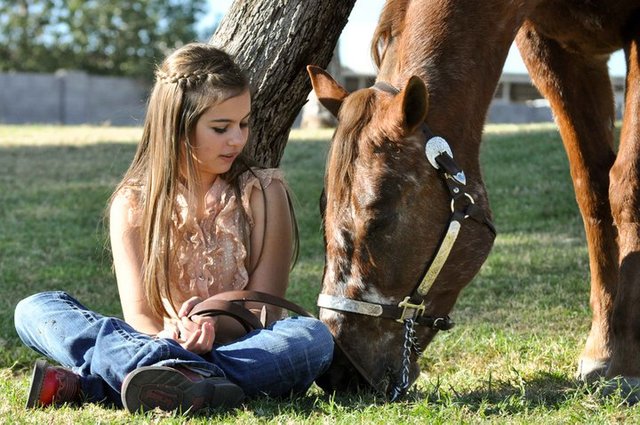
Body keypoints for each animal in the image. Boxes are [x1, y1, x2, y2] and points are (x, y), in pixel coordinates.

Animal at [308, 0, 640, 400]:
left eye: (380, 216)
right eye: (322, 207)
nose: (338, 368)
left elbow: (627, 186)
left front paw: (624, 363)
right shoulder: (553, 49)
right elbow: (593, 190)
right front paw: (602, 348)